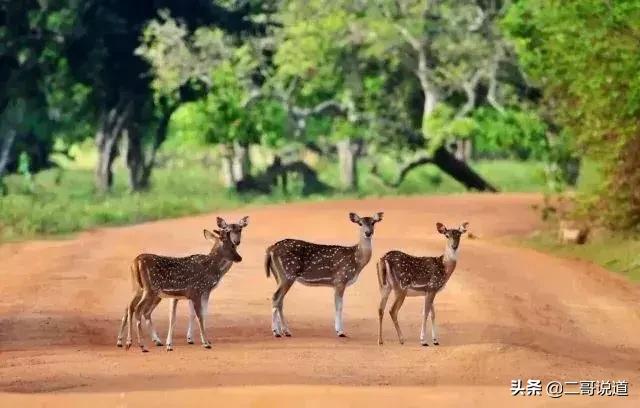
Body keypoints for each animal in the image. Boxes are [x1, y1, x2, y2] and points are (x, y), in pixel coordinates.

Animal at [116, 215, 246, 352]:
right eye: (230, 246)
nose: (239, 258)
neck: (210, 267)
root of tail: (136, 261)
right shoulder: (196, 290)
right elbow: (199, 315)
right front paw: (205, 343)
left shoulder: (194, 294)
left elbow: (190, 315)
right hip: (150, 289)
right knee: (138, 309)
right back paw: (141, 345)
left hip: (139, 288)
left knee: (130, 307)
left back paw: (127, 342)